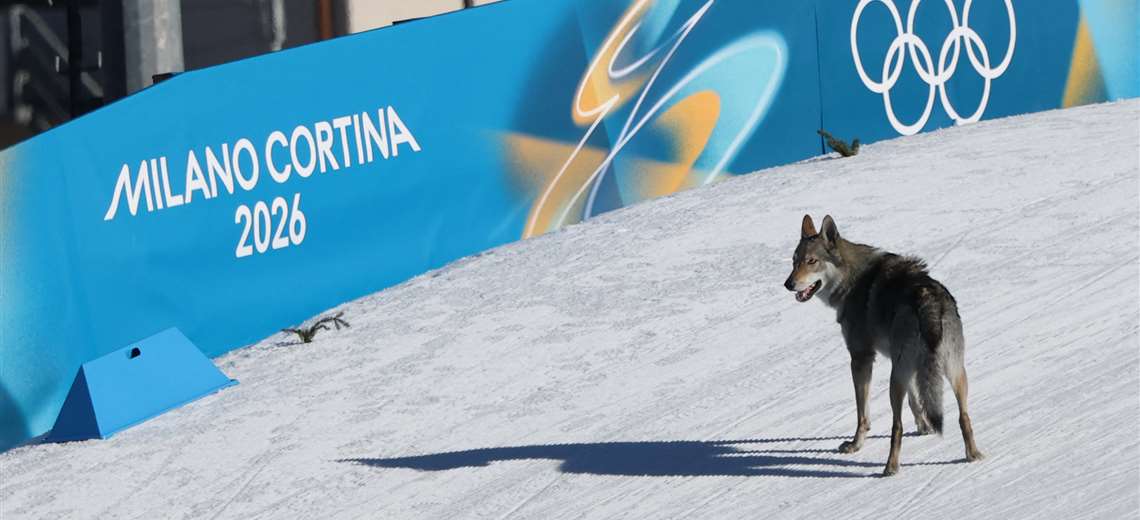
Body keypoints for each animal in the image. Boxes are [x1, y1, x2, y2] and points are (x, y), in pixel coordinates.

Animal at [784, 215, 983, 476]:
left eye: (811, 261)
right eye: (794, 262)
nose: (788, 284)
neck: (851, 280)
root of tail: (927, 299)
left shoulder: (861, 358)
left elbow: (862, 415)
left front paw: (855, 445)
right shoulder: (902, 363)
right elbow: (916, 400)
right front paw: (924, 427)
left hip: (894, 381)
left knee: (896, 427)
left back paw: (890, 468)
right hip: (953, 372)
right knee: (964, 417)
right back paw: (973, 455)